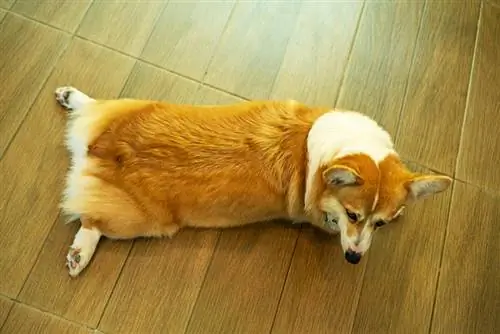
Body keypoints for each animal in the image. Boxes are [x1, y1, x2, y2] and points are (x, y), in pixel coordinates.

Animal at [54, 85, 454, 276]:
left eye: (379, 223)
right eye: (352, 215)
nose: (353, 259)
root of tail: (102, 146)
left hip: (129, 104)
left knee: (95, 106)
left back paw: (73, 97)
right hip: (142, 221)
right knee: (93, 222)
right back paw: (80, 254)